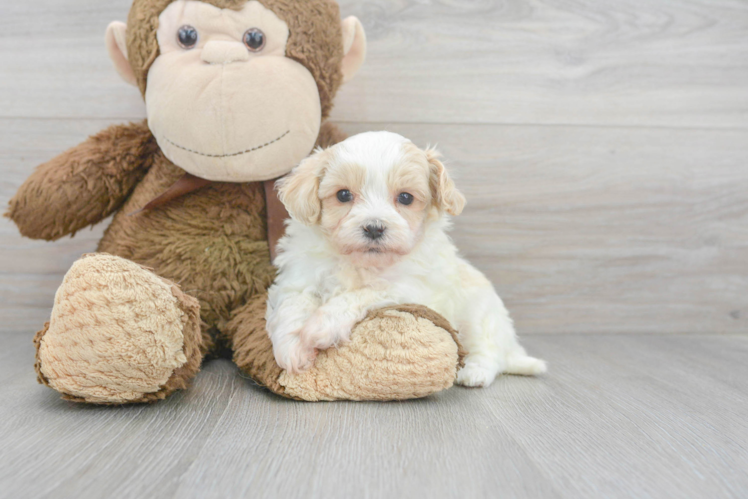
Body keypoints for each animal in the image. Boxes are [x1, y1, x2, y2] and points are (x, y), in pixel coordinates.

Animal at [266, 130, 548, 386]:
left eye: (405, 197)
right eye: (343, 195)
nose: (374, 228)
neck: (362, 264)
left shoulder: (409, 287)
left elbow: (361, 294)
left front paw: (320, 327)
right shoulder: (299, 278)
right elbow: (293, 305)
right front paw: (293, 348)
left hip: (481, 313)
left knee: (490, 352)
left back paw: (475, 372)